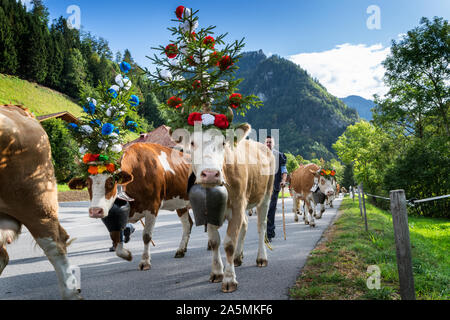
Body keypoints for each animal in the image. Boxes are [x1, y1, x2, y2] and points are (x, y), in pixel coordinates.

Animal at [69, 142, 192, 270]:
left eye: (111, 182)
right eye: (87, 183)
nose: (95, 211)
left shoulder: (153, 207)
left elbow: (146, 236)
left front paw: (145, 261)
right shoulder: (118, 214)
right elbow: (116, 237)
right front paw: (127, 255)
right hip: (181, 205)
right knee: (188, 224)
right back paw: (181, 250)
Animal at [178, 124, 276, 292]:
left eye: (223, 143)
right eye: (192, 143)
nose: (211, 174)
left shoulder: (237, 205)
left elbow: (229, 244)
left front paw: (229, 279)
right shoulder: (210, 210)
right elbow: (214, 242)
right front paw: (217, 272)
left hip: (265, 196)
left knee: (261, 227)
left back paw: (261, 257)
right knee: (245, 224)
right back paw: (238, 257)